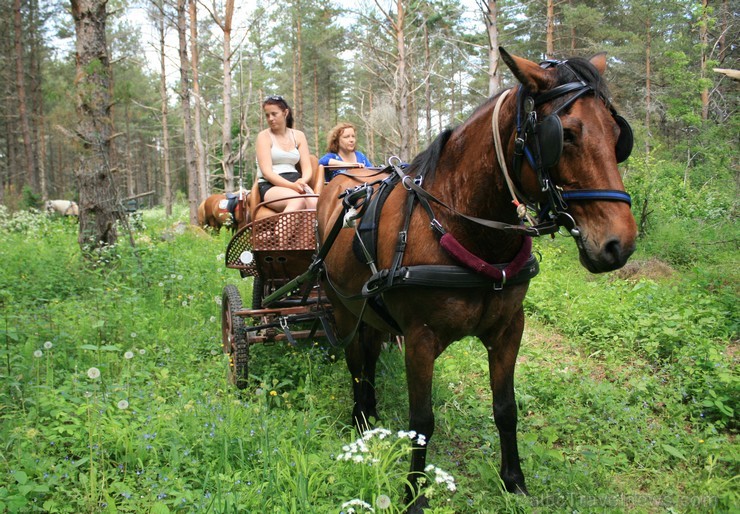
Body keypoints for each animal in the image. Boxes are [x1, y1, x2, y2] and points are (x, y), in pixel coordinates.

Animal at [316, 49, 636, 508]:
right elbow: (421, 422)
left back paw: (371, 412)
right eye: (567, 134)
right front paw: (415, 494)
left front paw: (514, 480)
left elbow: (506, 408)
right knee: (356, 361)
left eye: (617, 135)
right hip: (341, 305)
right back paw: (360, 416)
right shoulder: (420, 338)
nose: (618, 244)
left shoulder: (509, 329)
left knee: (371, 352)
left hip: (370, 310)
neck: (462, 224)